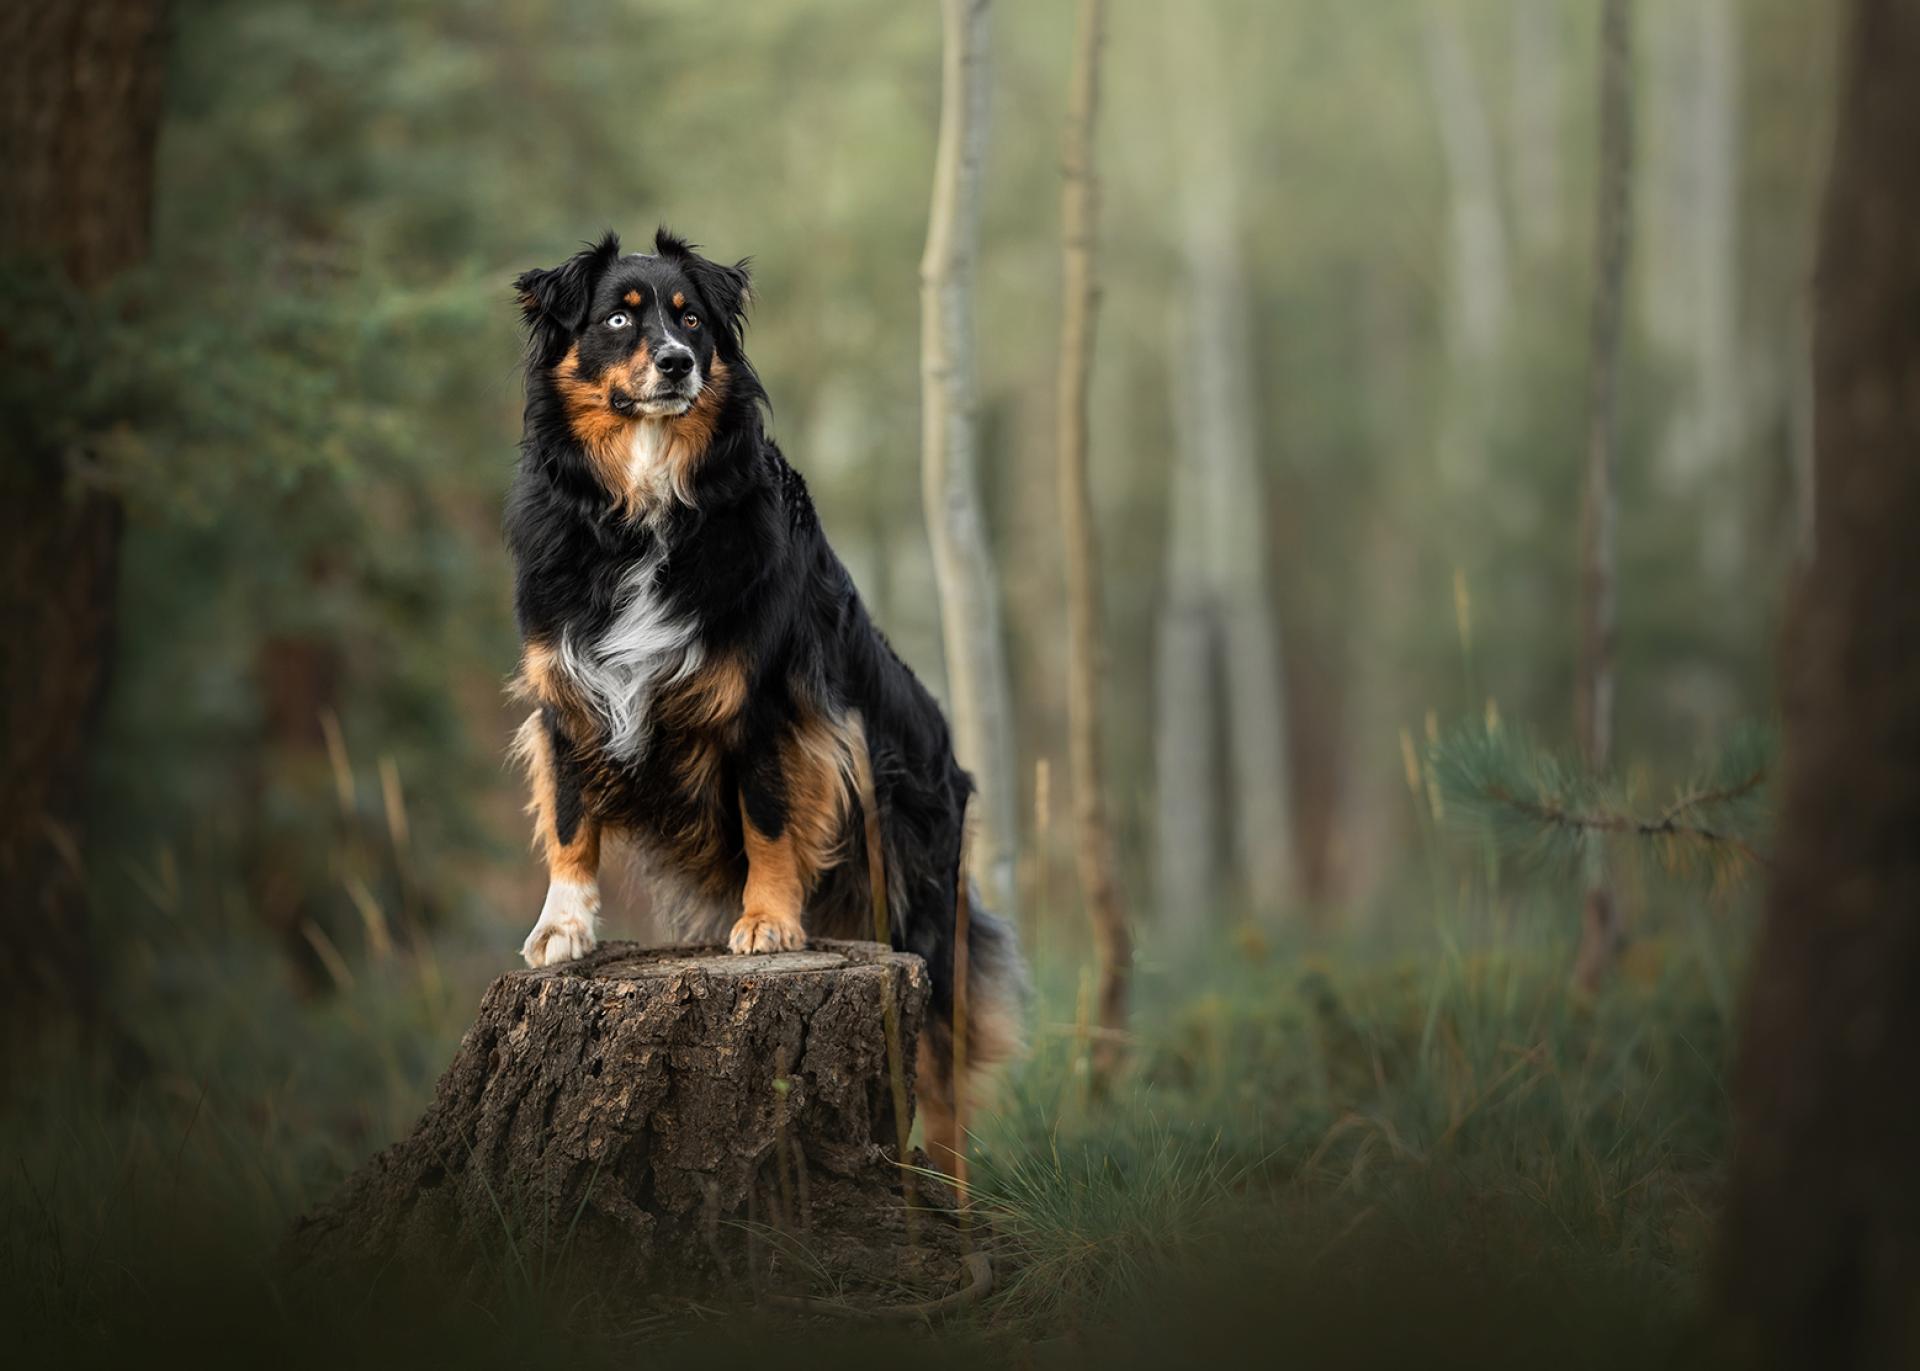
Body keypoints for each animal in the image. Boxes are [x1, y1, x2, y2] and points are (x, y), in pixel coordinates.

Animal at [503, 224, 1029, 1152]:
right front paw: (562, 926)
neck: (643, 501)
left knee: (944, 1087)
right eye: (617, 318)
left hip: (922, 912)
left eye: (691, 319)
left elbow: (770, 817)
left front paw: (770, 922)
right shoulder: (563, 692)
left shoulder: (768, 705)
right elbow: (570, 820)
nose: (678, 362)